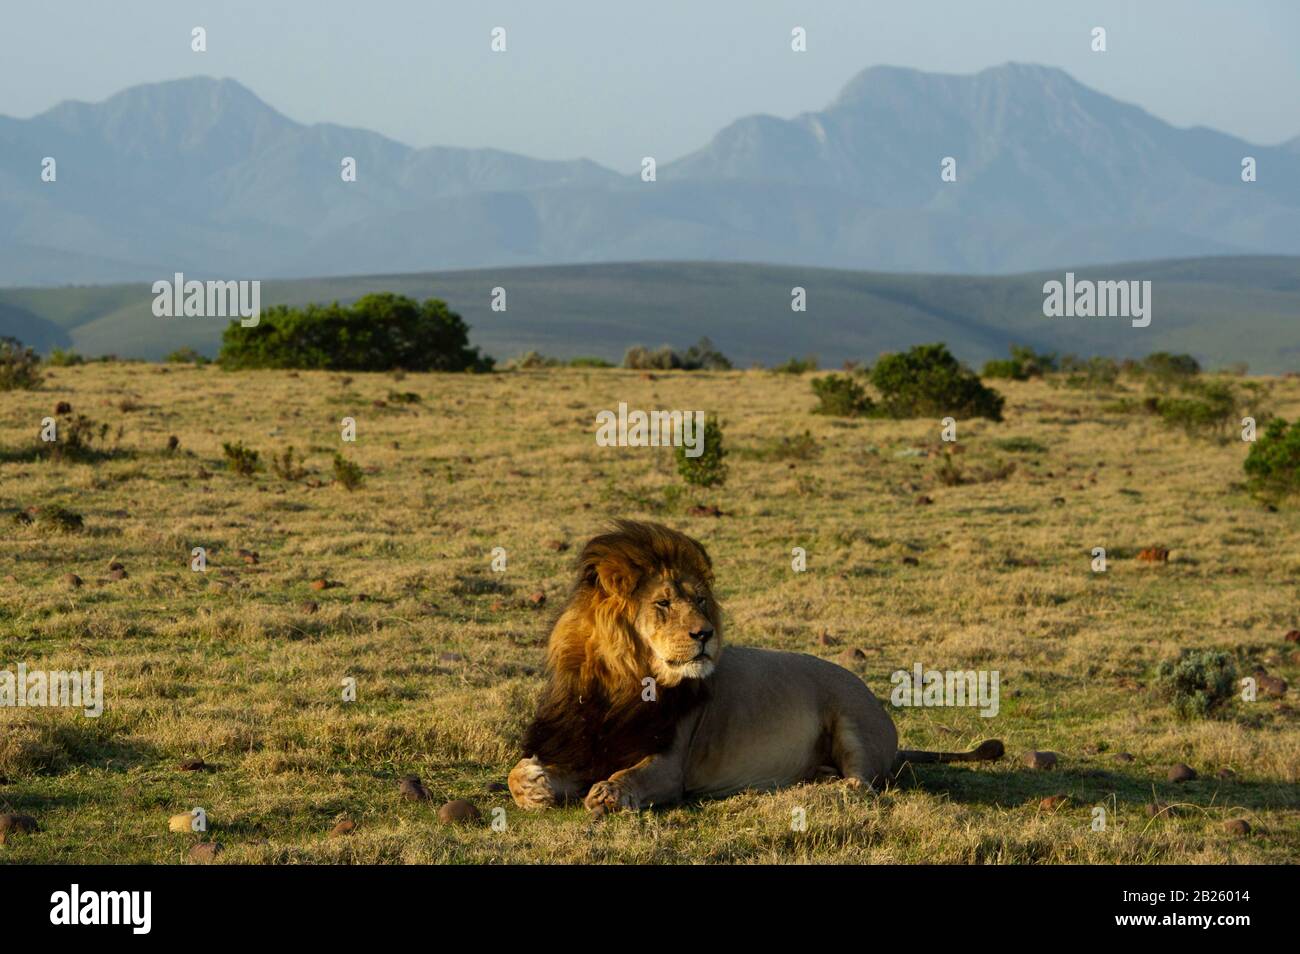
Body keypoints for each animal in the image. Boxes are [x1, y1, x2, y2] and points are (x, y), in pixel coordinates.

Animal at [508, 520, 1003, 813]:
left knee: (861, 784)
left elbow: (631, 776)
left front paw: (606, 793)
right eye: (663, 604)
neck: (620, 685)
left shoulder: (669, 766)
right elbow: (516, 775)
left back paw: (818, 788)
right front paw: (534, 781)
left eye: (700, 600)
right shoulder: (577, 743)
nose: (705, 633)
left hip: (850, 717)